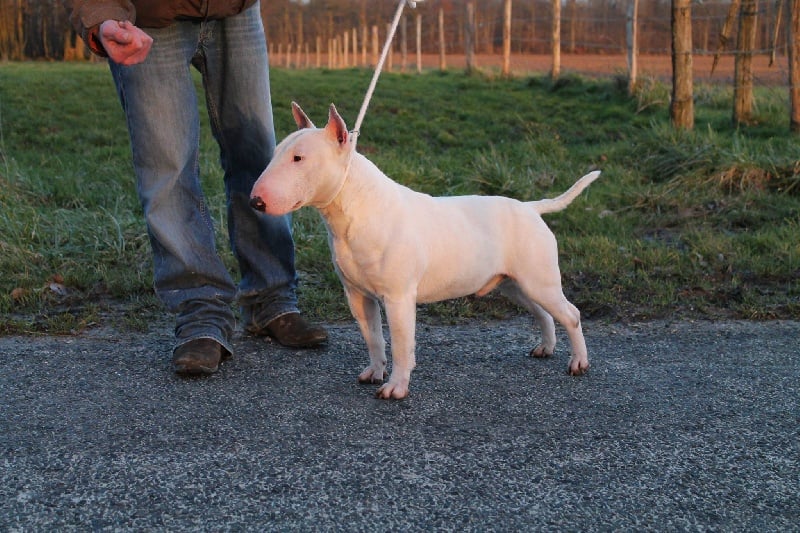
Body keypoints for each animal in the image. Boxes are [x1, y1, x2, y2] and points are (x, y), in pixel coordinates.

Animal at [250, 102, 600, 400]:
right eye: (278, 152)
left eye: (299, 158)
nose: (255, 201)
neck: (358, 209)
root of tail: (531, 208)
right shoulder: (358, 296)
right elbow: (373, 338)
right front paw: (374, 372)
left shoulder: (398, 297)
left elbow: (402, 345)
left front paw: (396, 388)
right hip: (515, 284)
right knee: (543, 313)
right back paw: (546, 347)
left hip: (539, 280)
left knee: (570, 314)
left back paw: (578, 363)